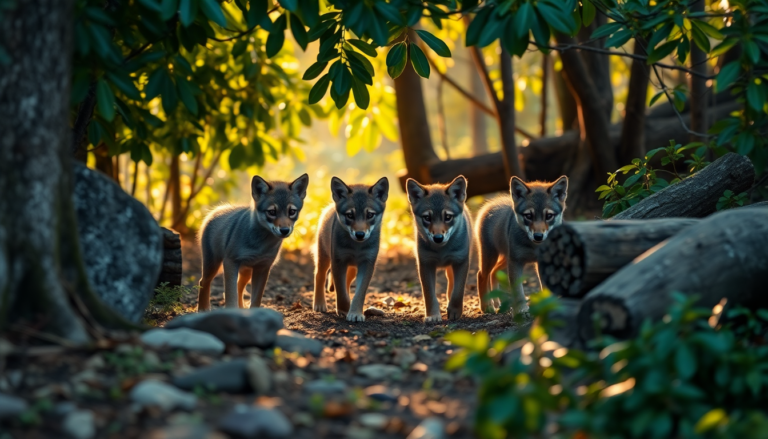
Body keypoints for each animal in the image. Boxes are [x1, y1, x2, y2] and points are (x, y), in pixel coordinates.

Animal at [197, 174, 309, 311]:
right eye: (272, 212)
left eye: (292, 212)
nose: (284, 230)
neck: (260, 246)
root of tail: (217, 210)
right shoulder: (230, 262)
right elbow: (230, 296)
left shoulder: (263, 267)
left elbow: (255, 300)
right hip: (213, 265)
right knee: (203, 282)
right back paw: (203, 309)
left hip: (246, 272)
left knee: (239, 286)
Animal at [312, 176, 389, 322]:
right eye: (350, 215)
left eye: (370, 215)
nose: (360, 234)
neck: (356, 248)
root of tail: (330, 207)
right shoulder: (338, 262)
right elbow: (341, 293)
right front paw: (343, 310)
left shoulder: (367, 264)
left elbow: (359, 294)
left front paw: (355, 312)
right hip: (324, 258)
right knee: (319, 275)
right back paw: (319, 304)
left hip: (352, 269)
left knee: (347, 283)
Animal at [406, 176, 471, 323]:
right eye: (427, 218)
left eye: (447, 217)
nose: (438, 238)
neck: (442, 252)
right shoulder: (425, 264)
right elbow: (429, 296)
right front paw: (433, 315)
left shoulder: (461, 261)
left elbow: (457, 292)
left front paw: (454, 311)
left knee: (451, 287)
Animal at [475, 176, 568, 315]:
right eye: (528, 215)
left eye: (549, 216)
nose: (538, 236)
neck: (534, 247)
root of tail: (491, 204)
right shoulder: (516, 262)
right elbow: (518, 291)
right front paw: (521, 310)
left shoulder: (541, 262)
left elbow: (545, 289)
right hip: (491, 257)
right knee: (481, 275)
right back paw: (487, 306)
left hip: (504, 259)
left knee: (494, 272)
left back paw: (497, 302)